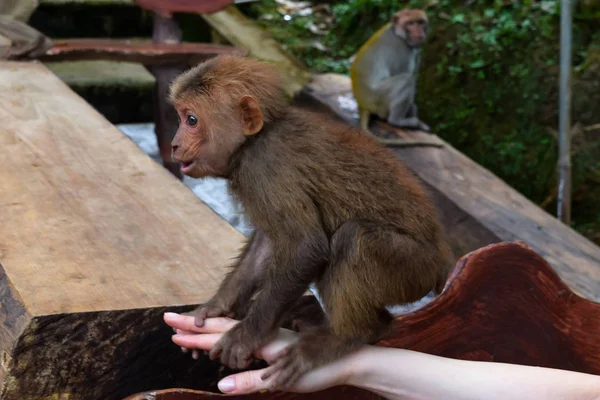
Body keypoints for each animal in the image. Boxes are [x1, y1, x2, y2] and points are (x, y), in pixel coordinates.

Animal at [352, 8, 432, 142]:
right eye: (410, 23)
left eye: (421, 22)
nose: (419, 32)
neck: (397, 32)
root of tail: (362, 104)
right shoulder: (401, 50)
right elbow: (406, 74)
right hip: (378, 100)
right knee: (406, 80)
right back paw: (397, 121)